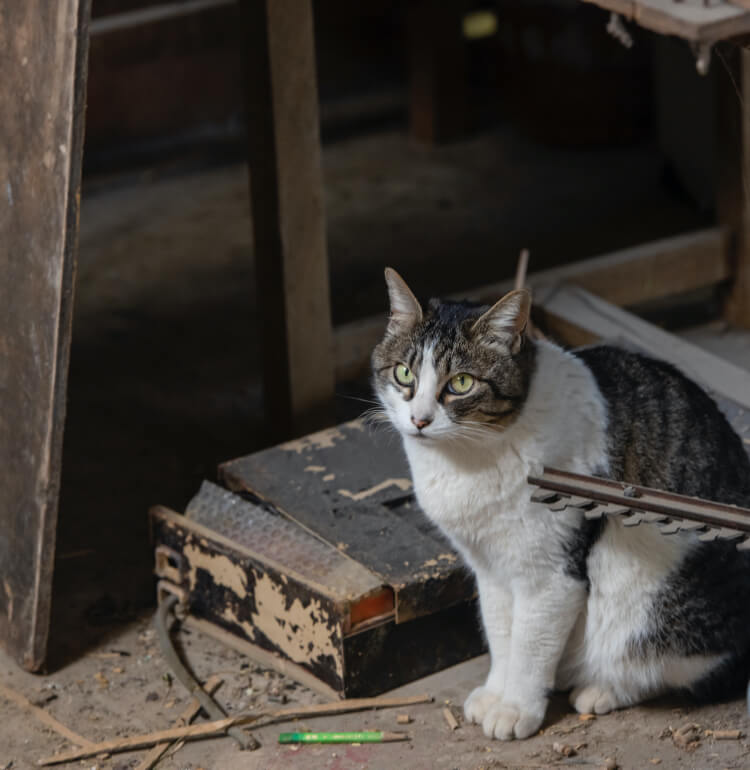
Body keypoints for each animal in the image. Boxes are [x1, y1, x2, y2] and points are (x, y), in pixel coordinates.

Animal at [374, 268, 750, 736]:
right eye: (404, 373)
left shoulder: (550, 575)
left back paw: (602, 689)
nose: (419, 420)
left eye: (460, 383)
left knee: (672, 663)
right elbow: (501, 635)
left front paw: (516, 708)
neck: (468, 460)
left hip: (640, 580)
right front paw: (496, 692)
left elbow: (530, 646)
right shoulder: (490, 567)